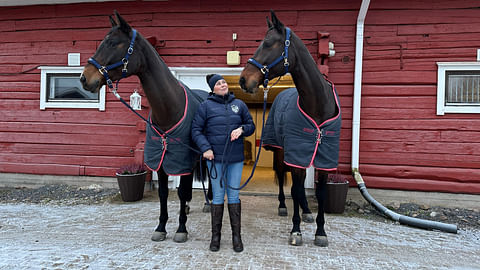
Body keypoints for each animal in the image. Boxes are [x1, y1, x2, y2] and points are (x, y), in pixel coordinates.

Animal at [79, 11, 209, 243]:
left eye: (113, 43)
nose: (85, 78)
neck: (169, 110)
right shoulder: (162, 160)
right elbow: (164, 194)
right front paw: (161, 227)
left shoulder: (181, 158)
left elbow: (182, 191)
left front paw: (181, 229)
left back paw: (207, 204)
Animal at [238, 11, 340, 247]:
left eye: (267, 43)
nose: (243, 79)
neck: (318, 105)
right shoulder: (295, 153)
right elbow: (295, 187)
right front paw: (296, 231)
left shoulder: (324, 157)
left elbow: (320, 193)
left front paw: (320, 231)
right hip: (282, 151)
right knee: (286, 179)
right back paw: (284, 206)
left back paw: (306, 211)